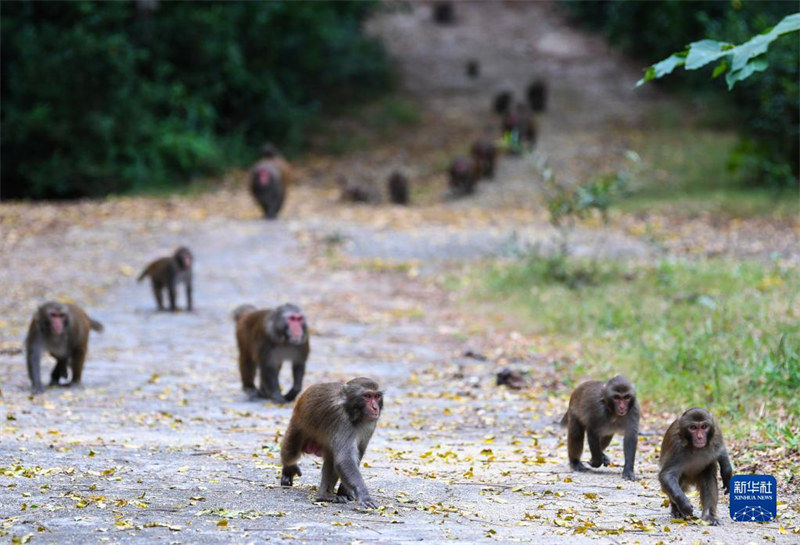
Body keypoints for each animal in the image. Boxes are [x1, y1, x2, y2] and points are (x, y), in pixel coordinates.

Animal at [280, 376, 382, 508]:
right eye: (367, 396)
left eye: (377, 396)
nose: (375, 407)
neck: (352, 412)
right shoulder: (341, 420)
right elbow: (344, 459)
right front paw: (363, 493)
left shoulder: (371, 424)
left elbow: (357, 453)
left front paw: (345, 491)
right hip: (298, 422)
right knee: (291, 450)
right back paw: (290, 470)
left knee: (331, 457)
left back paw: (324, 495)